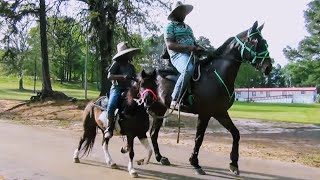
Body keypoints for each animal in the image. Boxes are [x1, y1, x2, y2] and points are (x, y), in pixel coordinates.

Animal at [144, 20, 274, 174]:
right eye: (255, 41)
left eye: (265, 42)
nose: (268, 67)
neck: (215, 75)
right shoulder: (205, 113)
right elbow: (199, 138)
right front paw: (195, 163)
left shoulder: (220, 112)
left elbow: (236, 134)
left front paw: (234, 164)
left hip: (160, 110)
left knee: (153, 133)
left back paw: (160, 157)